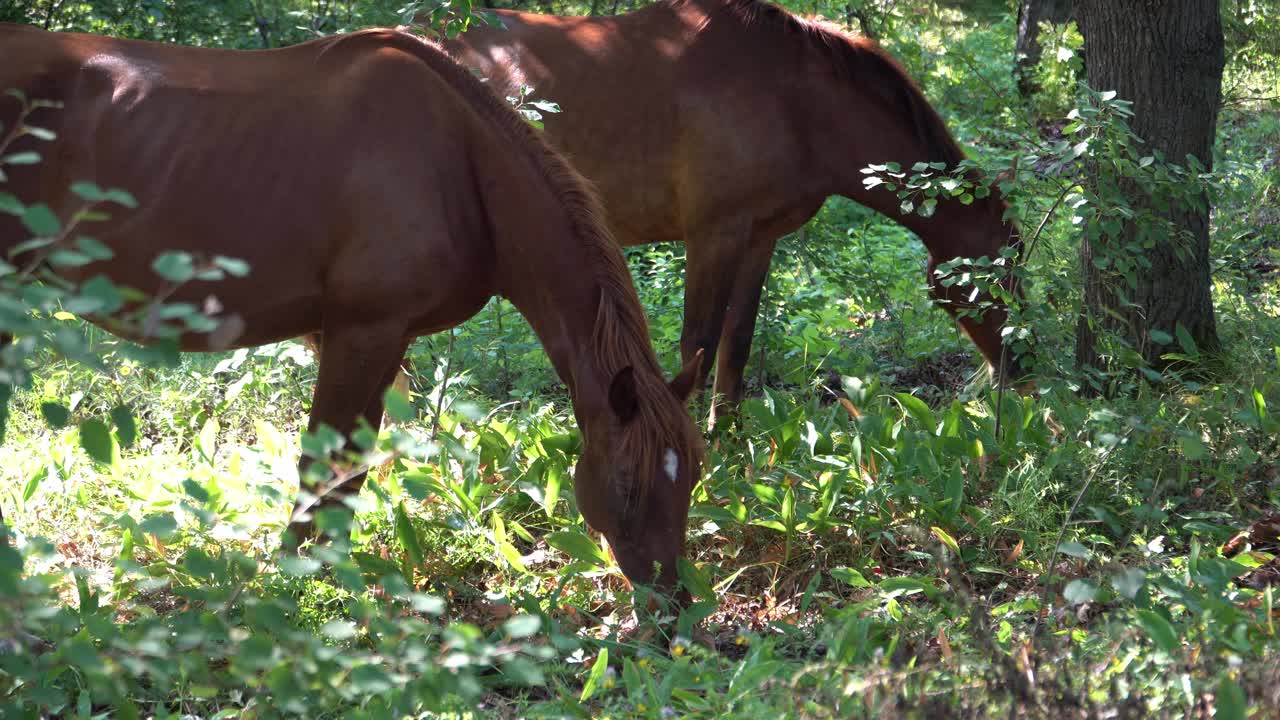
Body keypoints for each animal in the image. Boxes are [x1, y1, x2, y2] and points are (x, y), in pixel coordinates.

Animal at [0, 23, 701, 589]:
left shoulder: (388, 340)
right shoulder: (358, 333)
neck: (459, 161)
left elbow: (348, 477)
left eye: (693, 475)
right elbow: (322, 470)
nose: (671, 610)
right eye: (630, 483)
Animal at [445, 0, 1024, 420]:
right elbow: (697, 345)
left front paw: (730, 445)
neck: (795, 101)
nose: (1021, 371)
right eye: (1000, 277)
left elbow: (735, 345)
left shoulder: (759, 237)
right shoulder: (713, 235)